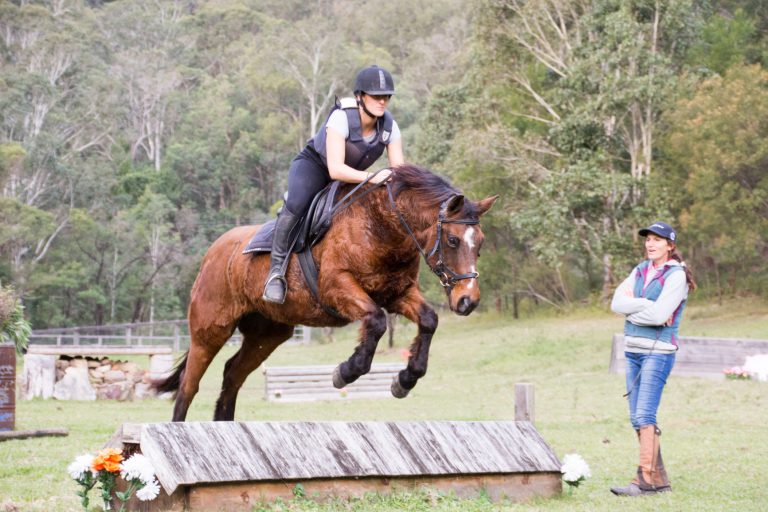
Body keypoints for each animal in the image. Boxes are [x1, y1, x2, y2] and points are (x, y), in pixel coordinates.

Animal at [155, 164, 498, 421]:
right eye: (453, 241)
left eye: (480, 244)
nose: (467, 301)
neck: (383, 226)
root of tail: (211, 253)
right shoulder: (338, 287)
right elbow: (375, 321)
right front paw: (345, 372)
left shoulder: (396, 293)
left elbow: (428, 320)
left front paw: (405, 379)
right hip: (210, 329)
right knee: (188, 386)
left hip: (267, 334)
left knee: (232, 376)